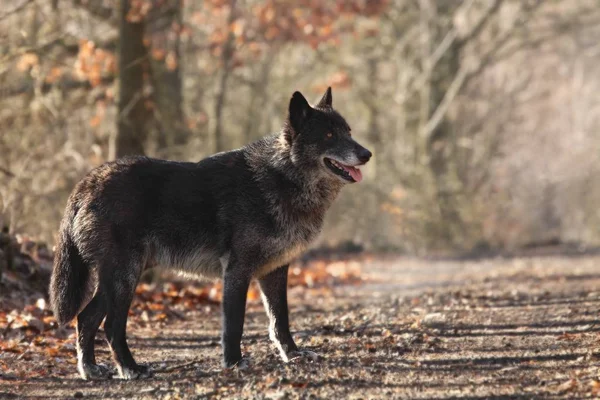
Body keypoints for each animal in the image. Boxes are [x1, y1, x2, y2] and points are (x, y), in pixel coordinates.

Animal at [49, 86, 372, 380]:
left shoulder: (275, 271)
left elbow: (280, 320)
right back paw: (130, 369)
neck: (281, 178)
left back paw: (90, 370)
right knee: (111, 326)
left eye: (348, 132)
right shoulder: (237, 271)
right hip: (124, 277)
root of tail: (87, 182)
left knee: (85, 318)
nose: (367, 154)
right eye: (328, 136)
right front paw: (234, 362)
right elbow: (235, 324)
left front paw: (292, 354)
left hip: (118, 278)